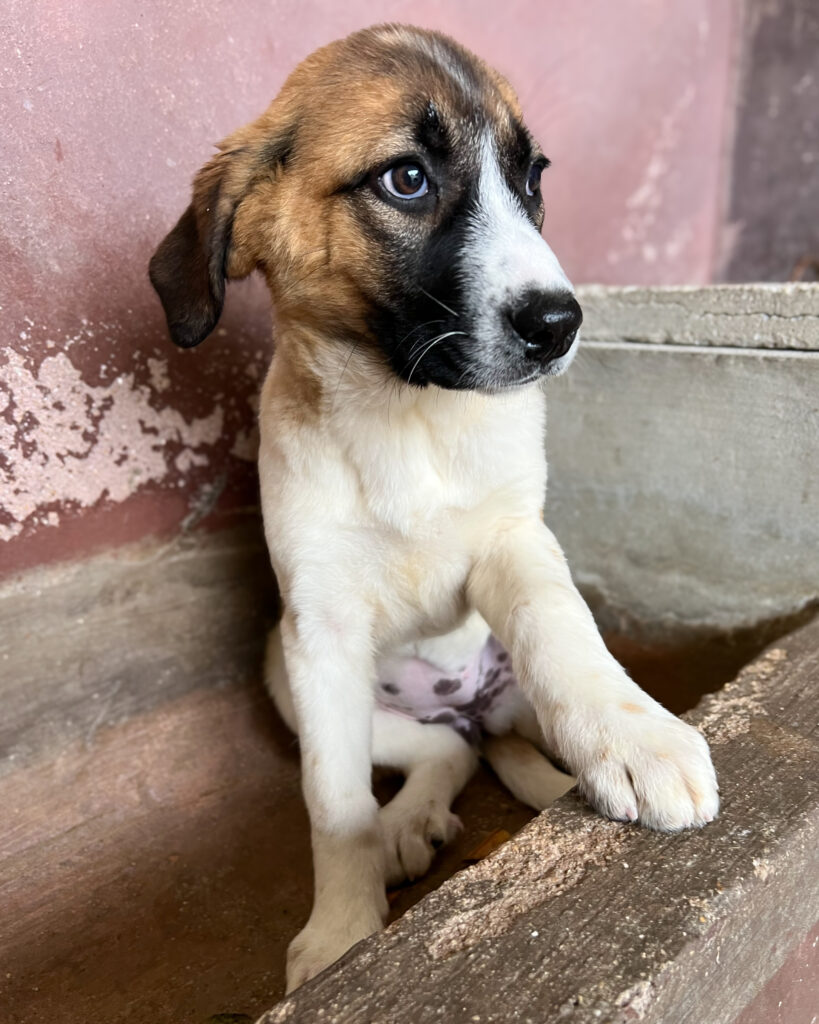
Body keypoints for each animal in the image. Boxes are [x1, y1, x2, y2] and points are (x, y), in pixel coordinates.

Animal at [149, 24, 719, 992]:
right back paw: (405, 824)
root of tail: (467, 706)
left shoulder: (514, 544)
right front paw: (341, 933)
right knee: (442, 749)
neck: (406, 414)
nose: (559, 324)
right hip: (289, 676)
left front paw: (635, 739)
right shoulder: (320, 631)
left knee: (499, 734)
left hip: (501, 696)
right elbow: (331, 801)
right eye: (406, 179)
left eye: (533, 178)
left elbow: (562, 634)